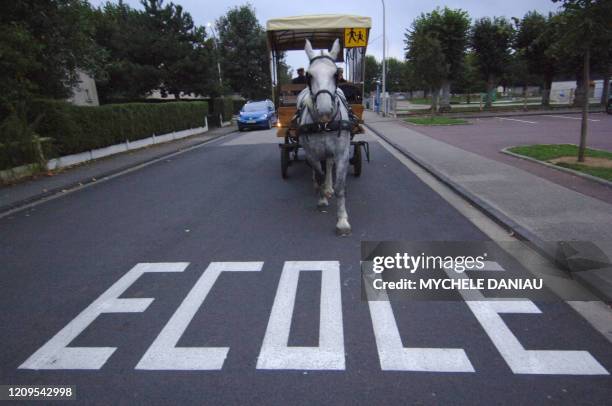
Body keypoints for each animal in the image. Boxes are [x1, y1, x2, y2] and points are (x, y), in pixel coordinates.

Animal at [298, 38, 354, 235]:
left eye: (336, 74)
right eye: (309, 75)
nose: (324, 110)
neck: (323, 124)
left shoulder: (342, 153)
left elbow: (340, 186)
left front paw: (342, 220)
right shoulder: (312, 153)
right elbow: (319, 173)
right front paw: (322, 199)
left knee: (329, 164)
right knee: (319, 171)